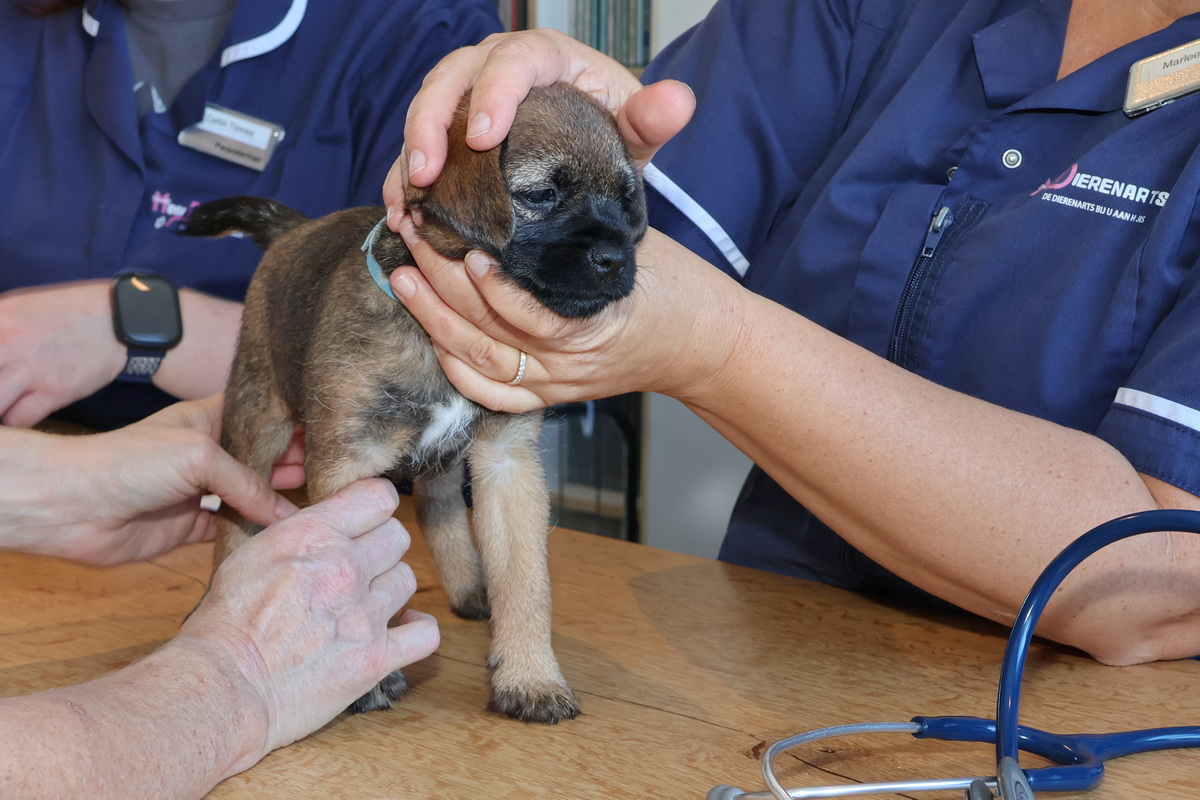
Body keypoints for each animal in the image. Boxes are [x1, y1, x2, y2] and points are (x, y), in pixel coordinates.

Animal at [181, 82, 647, 724]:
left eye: (627, 204)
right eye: (542, 194)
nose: (616, 260)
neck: (431, 335)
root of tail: (296, 231)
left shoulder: (507, 463)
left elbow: (527, 582)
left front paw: (530, 676)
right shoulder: (351, 467)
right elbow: (364, 572)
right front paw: (369, 673)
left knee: (437, 504)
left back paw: (469, 587)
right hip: (256, 421)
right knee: (234, 515)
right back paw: (219, 585)